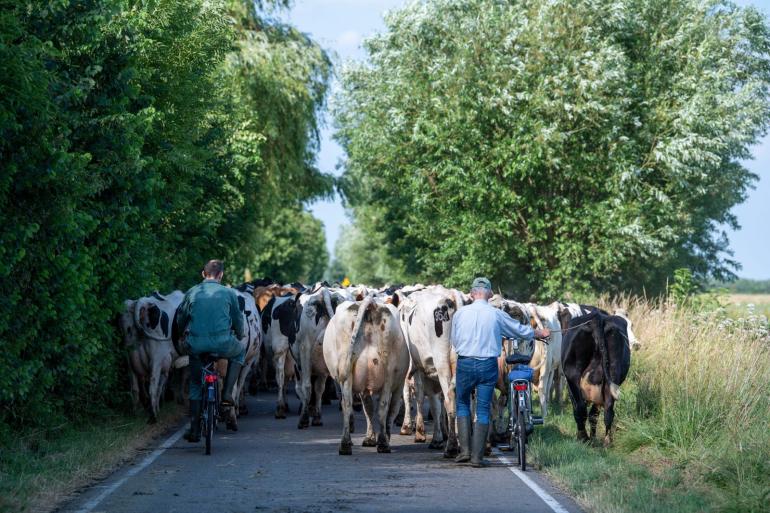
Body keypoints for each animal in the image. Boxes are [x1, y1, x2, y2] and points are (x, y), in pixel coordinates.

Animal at [322, 294, 408, 454]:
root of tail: (371, 304)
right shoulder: (398, 384)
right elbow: (390, 410)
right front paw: (380, 436)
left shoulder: (363, 387)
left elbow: (368, 408)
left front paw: (370, 438)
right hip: (388, 374)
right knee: (383, 407)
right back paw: (383, 443)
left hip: (347, 375)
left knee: (347, 404)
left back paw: (345, 444)